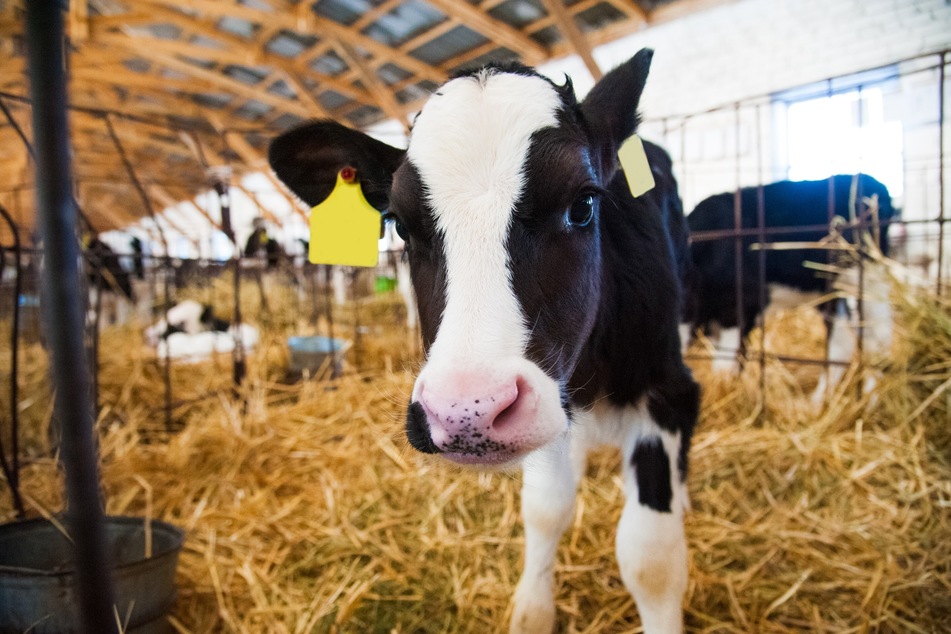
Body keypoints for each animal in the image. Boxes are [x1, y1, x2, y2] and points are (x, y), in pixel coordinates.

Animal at [268, 49, 700, 632]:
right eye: (399, 225)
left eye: (583, 205)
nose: (465, 413)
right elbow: (545, 507)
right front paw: (533, 610)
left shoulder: (667, 394)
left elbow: (650, 559)